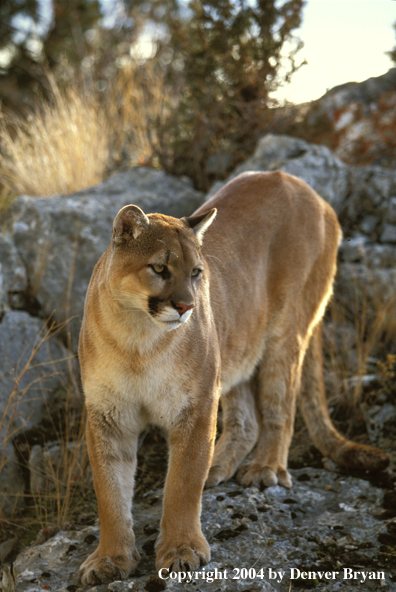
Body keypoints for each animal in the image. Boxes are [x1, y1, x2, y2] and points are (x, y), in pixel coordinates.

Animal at [79, 170, 388, 584]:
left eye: (196, 272)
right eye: (159, 268)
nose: (187, 306)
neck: (137, 340)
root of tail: (303, 186)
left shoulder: (196, 405)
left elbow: (182, 484)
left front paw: (181, 550)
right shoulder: (107, 415)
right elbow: (109, 491)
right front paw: (110, 559)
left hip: (285, 333)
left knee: (280, 407)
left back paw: (265, 468)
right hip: (237, 348)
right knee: (245, 420)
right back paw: (217, 466)